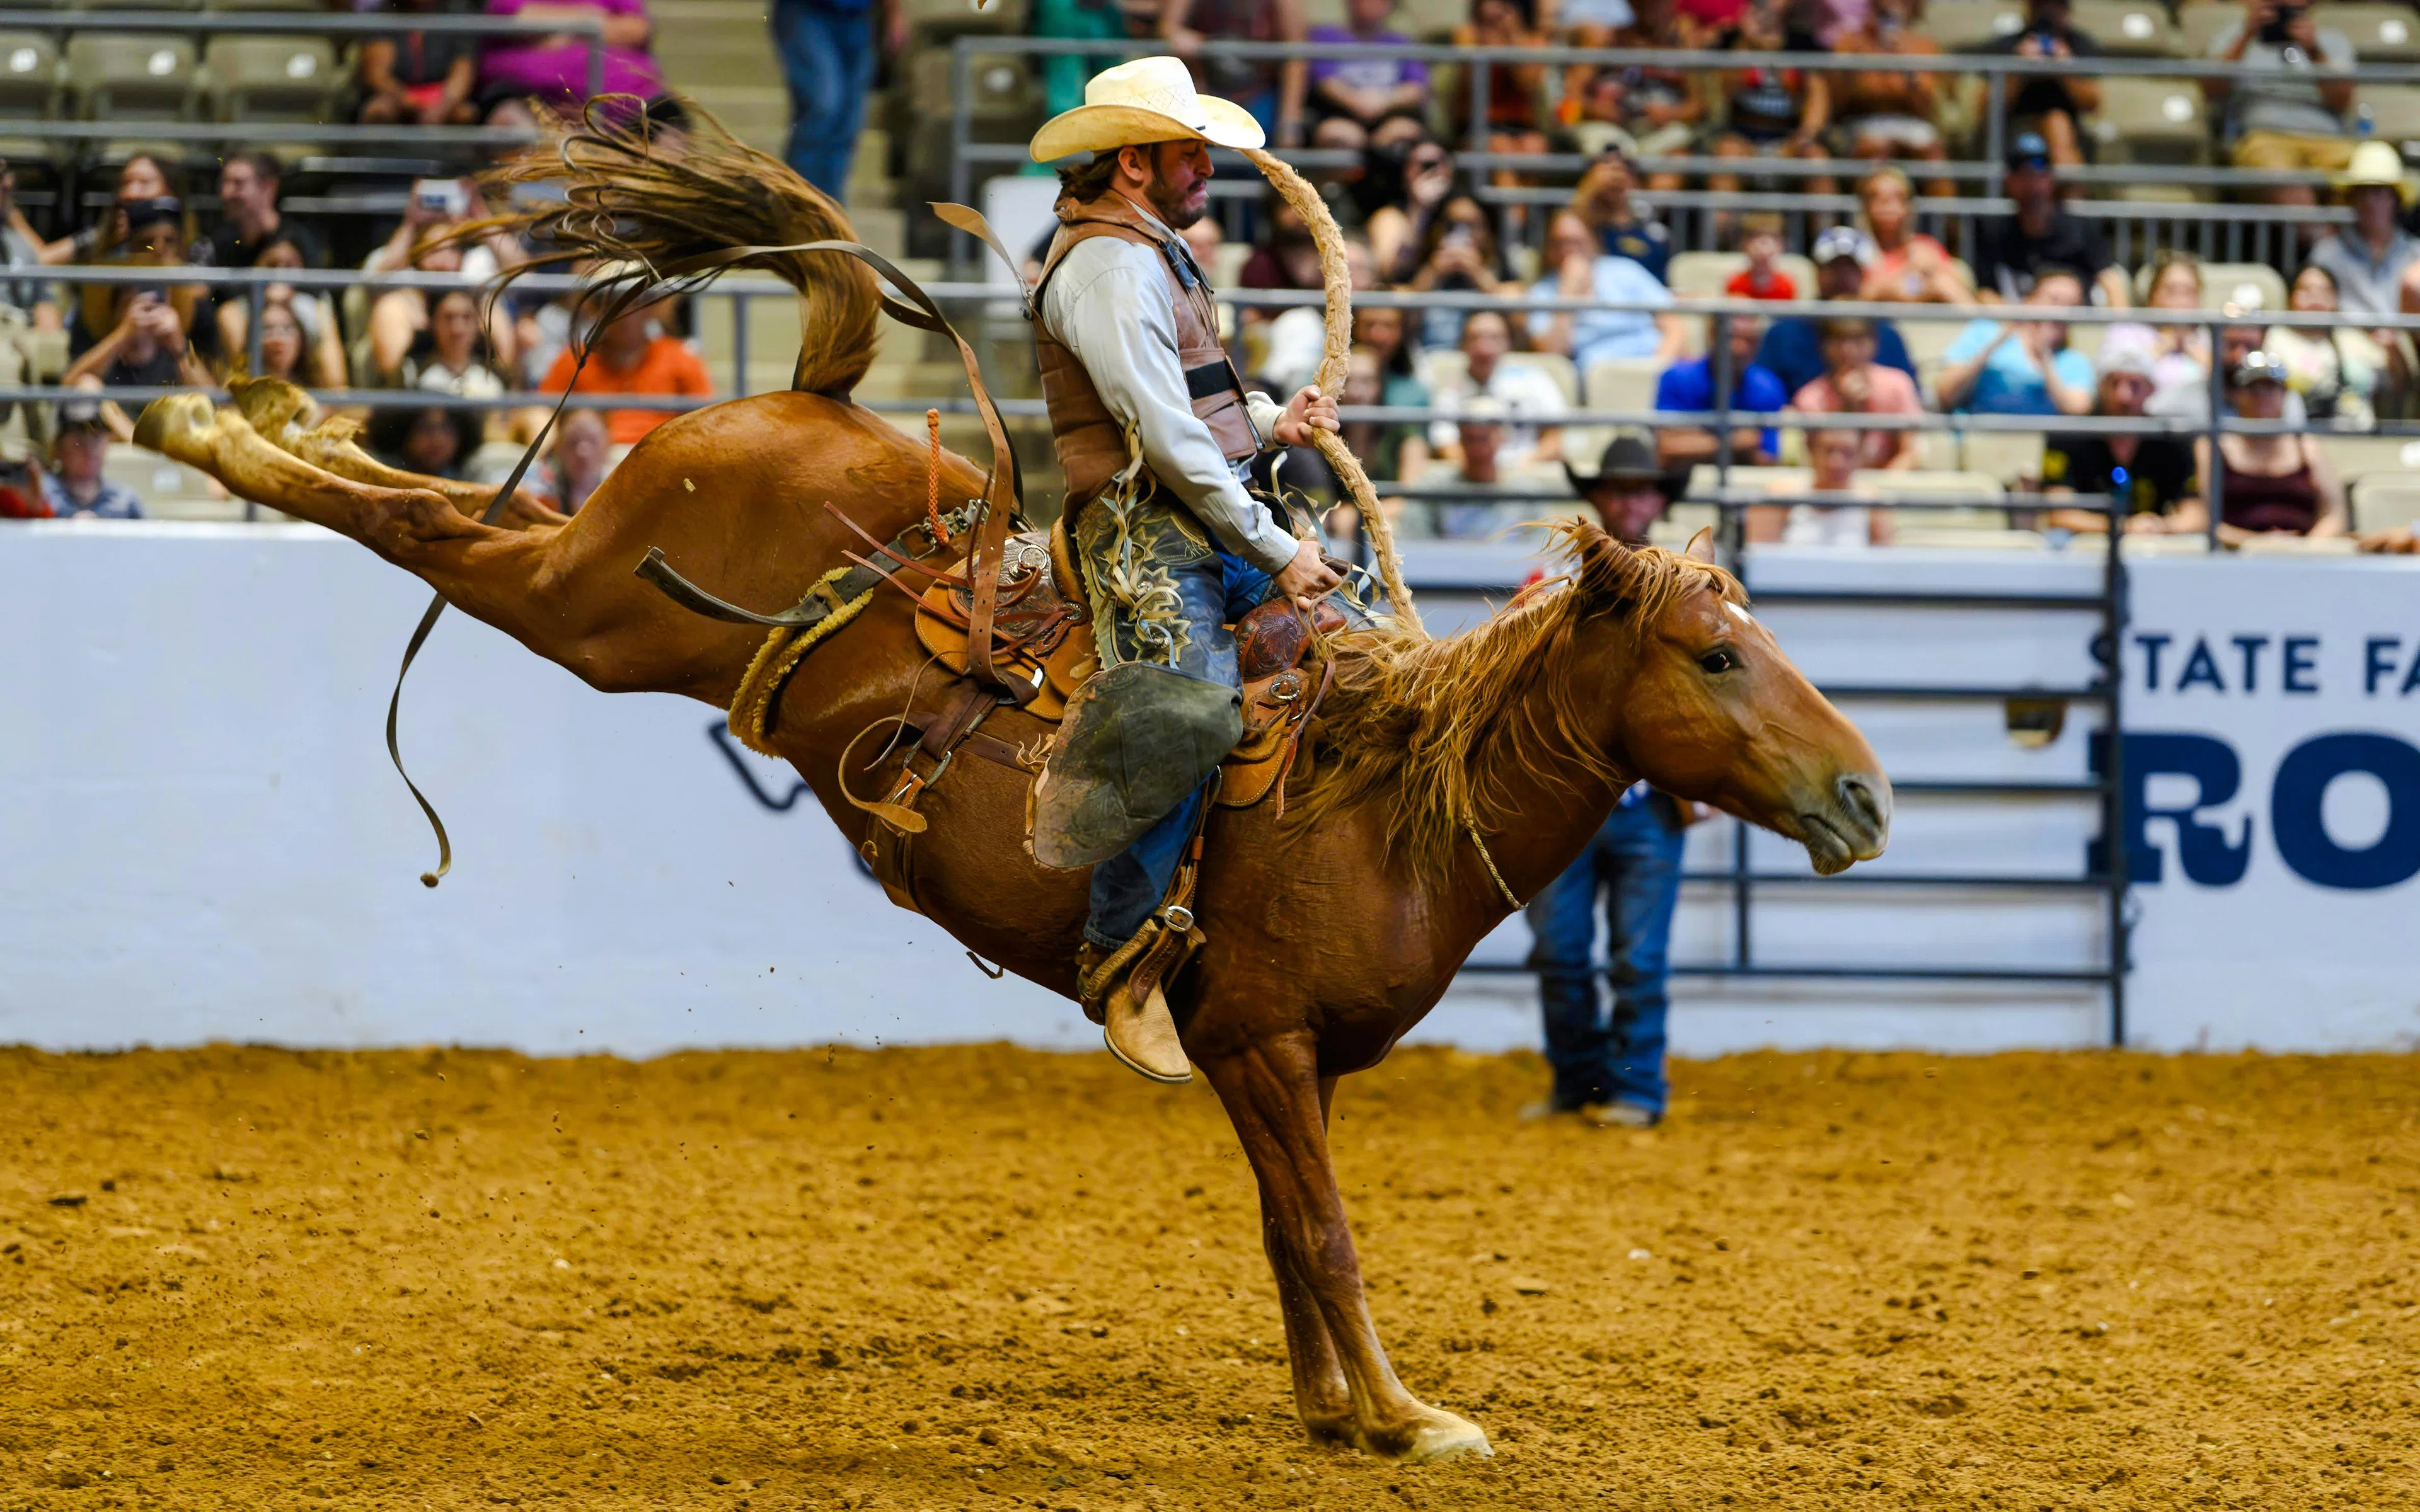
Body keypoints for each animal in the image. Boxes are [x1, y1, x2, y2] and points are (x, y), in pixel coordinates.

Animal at [131, 107, 1891, 1464]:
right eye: (1715, 657)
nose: (1867, 798)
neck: (1375, 804)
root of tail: (815, 403)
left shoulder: (1278, 1058)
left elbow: (1285, 1232)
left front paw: (1332, 1409)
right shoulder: (1260, 1041)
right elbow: (1326, 1232)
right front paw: (1409, 1417)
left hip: (599, 585)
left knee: (438, 507)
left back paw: (267, 409)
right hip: (598, 609)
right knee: (431, 529)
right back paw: (208, 417)